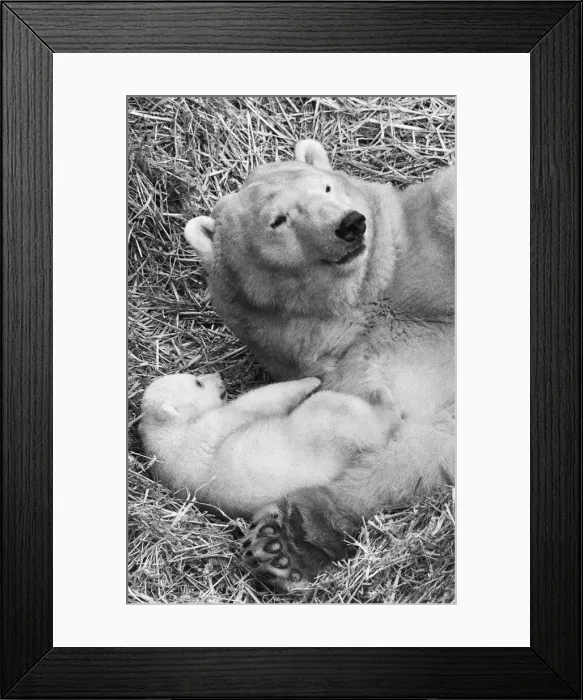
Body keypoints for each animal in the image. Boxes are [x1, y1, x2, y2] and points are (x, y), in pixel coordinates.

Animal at [139, 373, 394, 533]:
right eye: (198, 383)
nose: (220, 377)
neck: (164, 431)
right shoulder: (204, 431)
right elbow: (256, 402)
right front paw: (311, 380)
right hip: (324, 432)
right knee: (345, 412)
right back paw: (383, 400)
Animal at [183, 139, 455, 591]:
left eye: (326, 187)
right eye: (278, 220)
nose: (350, 224)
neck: (364, 308)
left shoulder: (421, 257)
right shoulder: (348, 372)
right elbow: (409, 451)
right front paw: (292, 536)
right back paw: (286, 541)